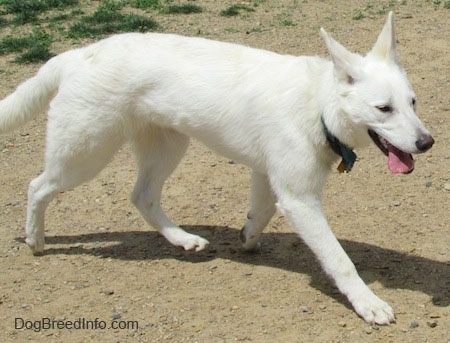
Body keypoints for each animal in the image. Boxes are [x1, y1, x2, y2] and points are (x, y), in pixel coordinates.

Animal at [0, 12, 436, 326]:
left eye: (413, 102)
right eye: (384, 108)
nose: (426, 143)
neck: (319, 105)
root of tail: (76, 54)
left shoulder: (269, 178)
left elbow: (260, 214)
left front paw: (246, 240)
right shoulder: (300, 200)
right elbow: (339, 260)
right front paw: (368, 303)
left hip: (167, 147)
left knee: (142, 196)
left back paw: (183, 240)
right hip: (85, 154)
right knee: (37, 186)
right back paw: (35, 240)